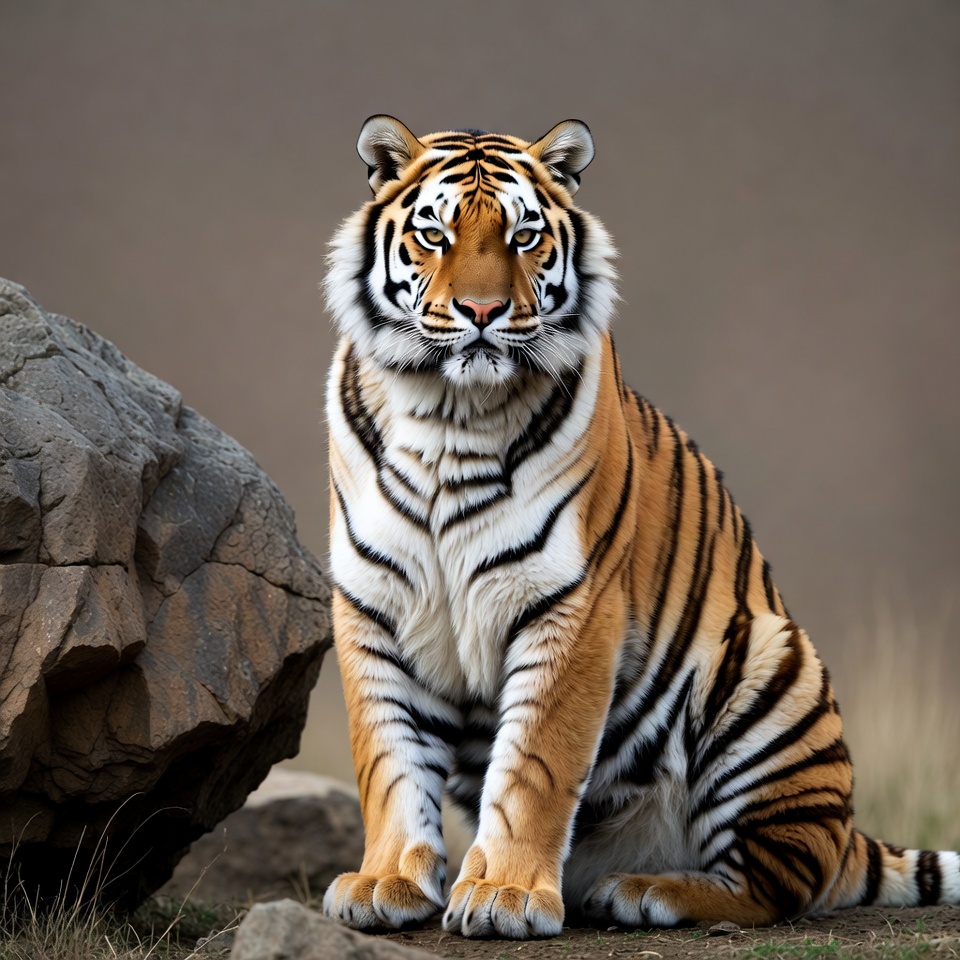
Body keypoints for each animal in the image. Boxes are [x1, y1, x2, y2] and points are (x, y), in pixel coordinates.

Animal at [321, 115, 960, 940]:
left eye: (524, 237)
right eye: (435, 234)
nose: (482, 313)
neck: (447, 415)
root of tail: (851, 835)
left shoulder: (572, 603)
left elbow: (535, 764)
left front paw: (505, 896)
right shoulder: (372, 602)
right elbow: (388, 757)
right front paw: (384, 881)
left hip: (768, 663)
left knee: (776, 883)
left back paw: (645, 890)